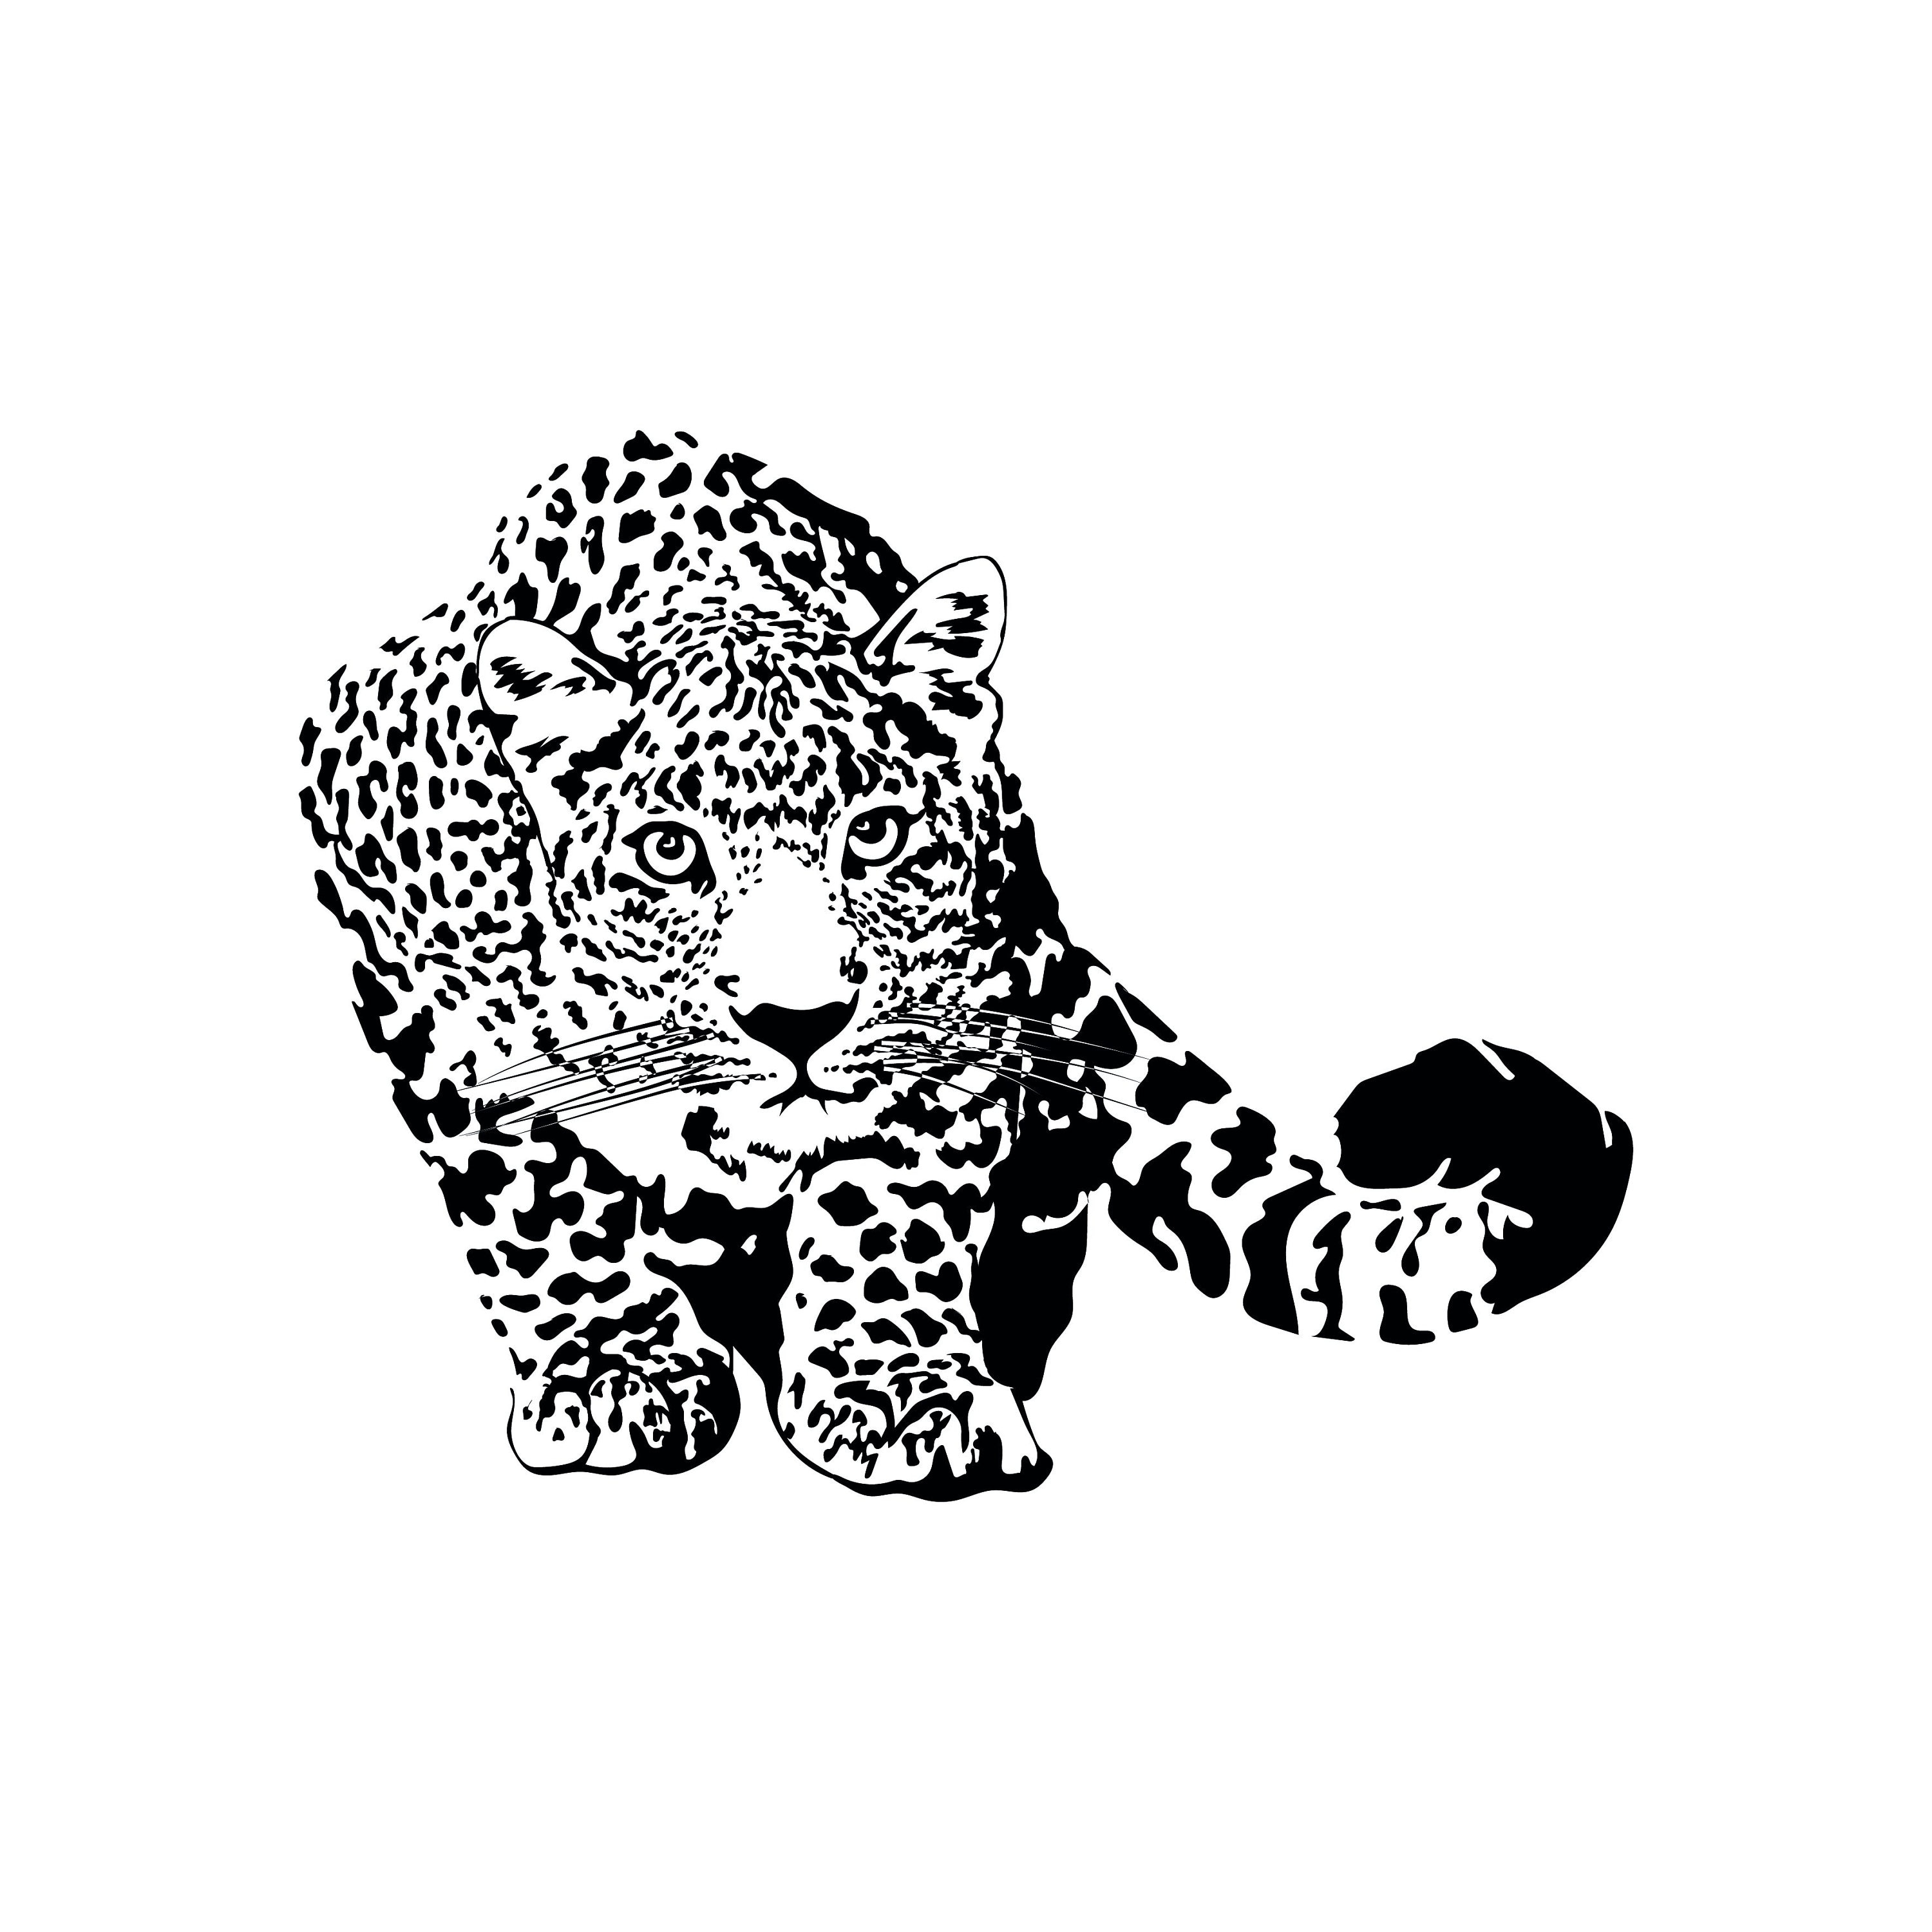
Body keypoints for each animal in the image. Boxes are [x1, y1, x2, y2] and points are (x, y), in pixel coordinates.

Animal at [297, 430, 1633, 1499]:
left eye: (877, 834)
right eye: (671, 852)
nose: (797, 1022)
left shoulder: (956, 1007)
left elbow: (888, 1199)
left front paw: (896, 1392)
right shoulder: (403, 961)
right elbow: (527, 1198)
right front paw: (611, 1367)